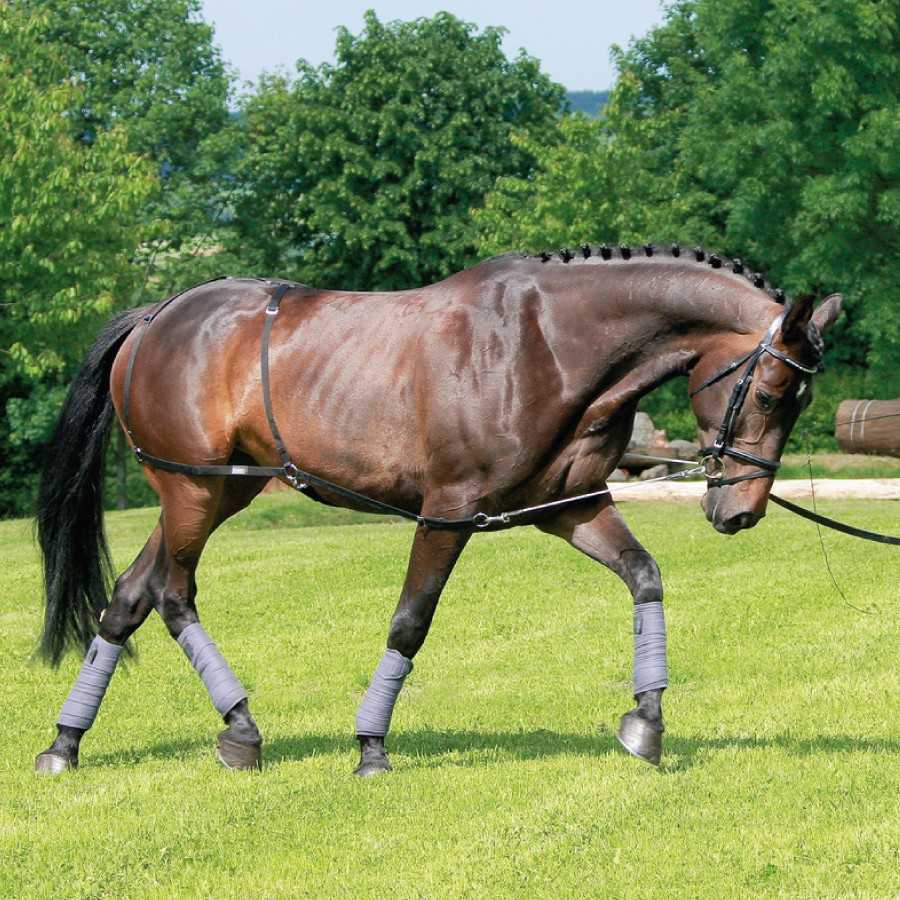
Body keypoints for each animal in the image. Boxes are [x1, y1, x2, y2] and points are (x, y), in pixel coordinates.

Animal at [33, 244, 842, 775]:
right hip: (194, 493)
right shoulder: (448, 513)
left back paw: (66, 742)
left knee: (129, 598)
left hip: (216, 491)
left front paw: (646, 722)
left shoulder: (573, 507)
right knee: (172, 593)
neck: (545, 345)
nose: (740, 512)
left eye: (800, 400)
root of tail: (156, 316)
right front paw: (370, 746)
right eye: (772, 393)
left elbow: (645, 576)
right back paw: (240, 729)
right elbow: (409, 623)